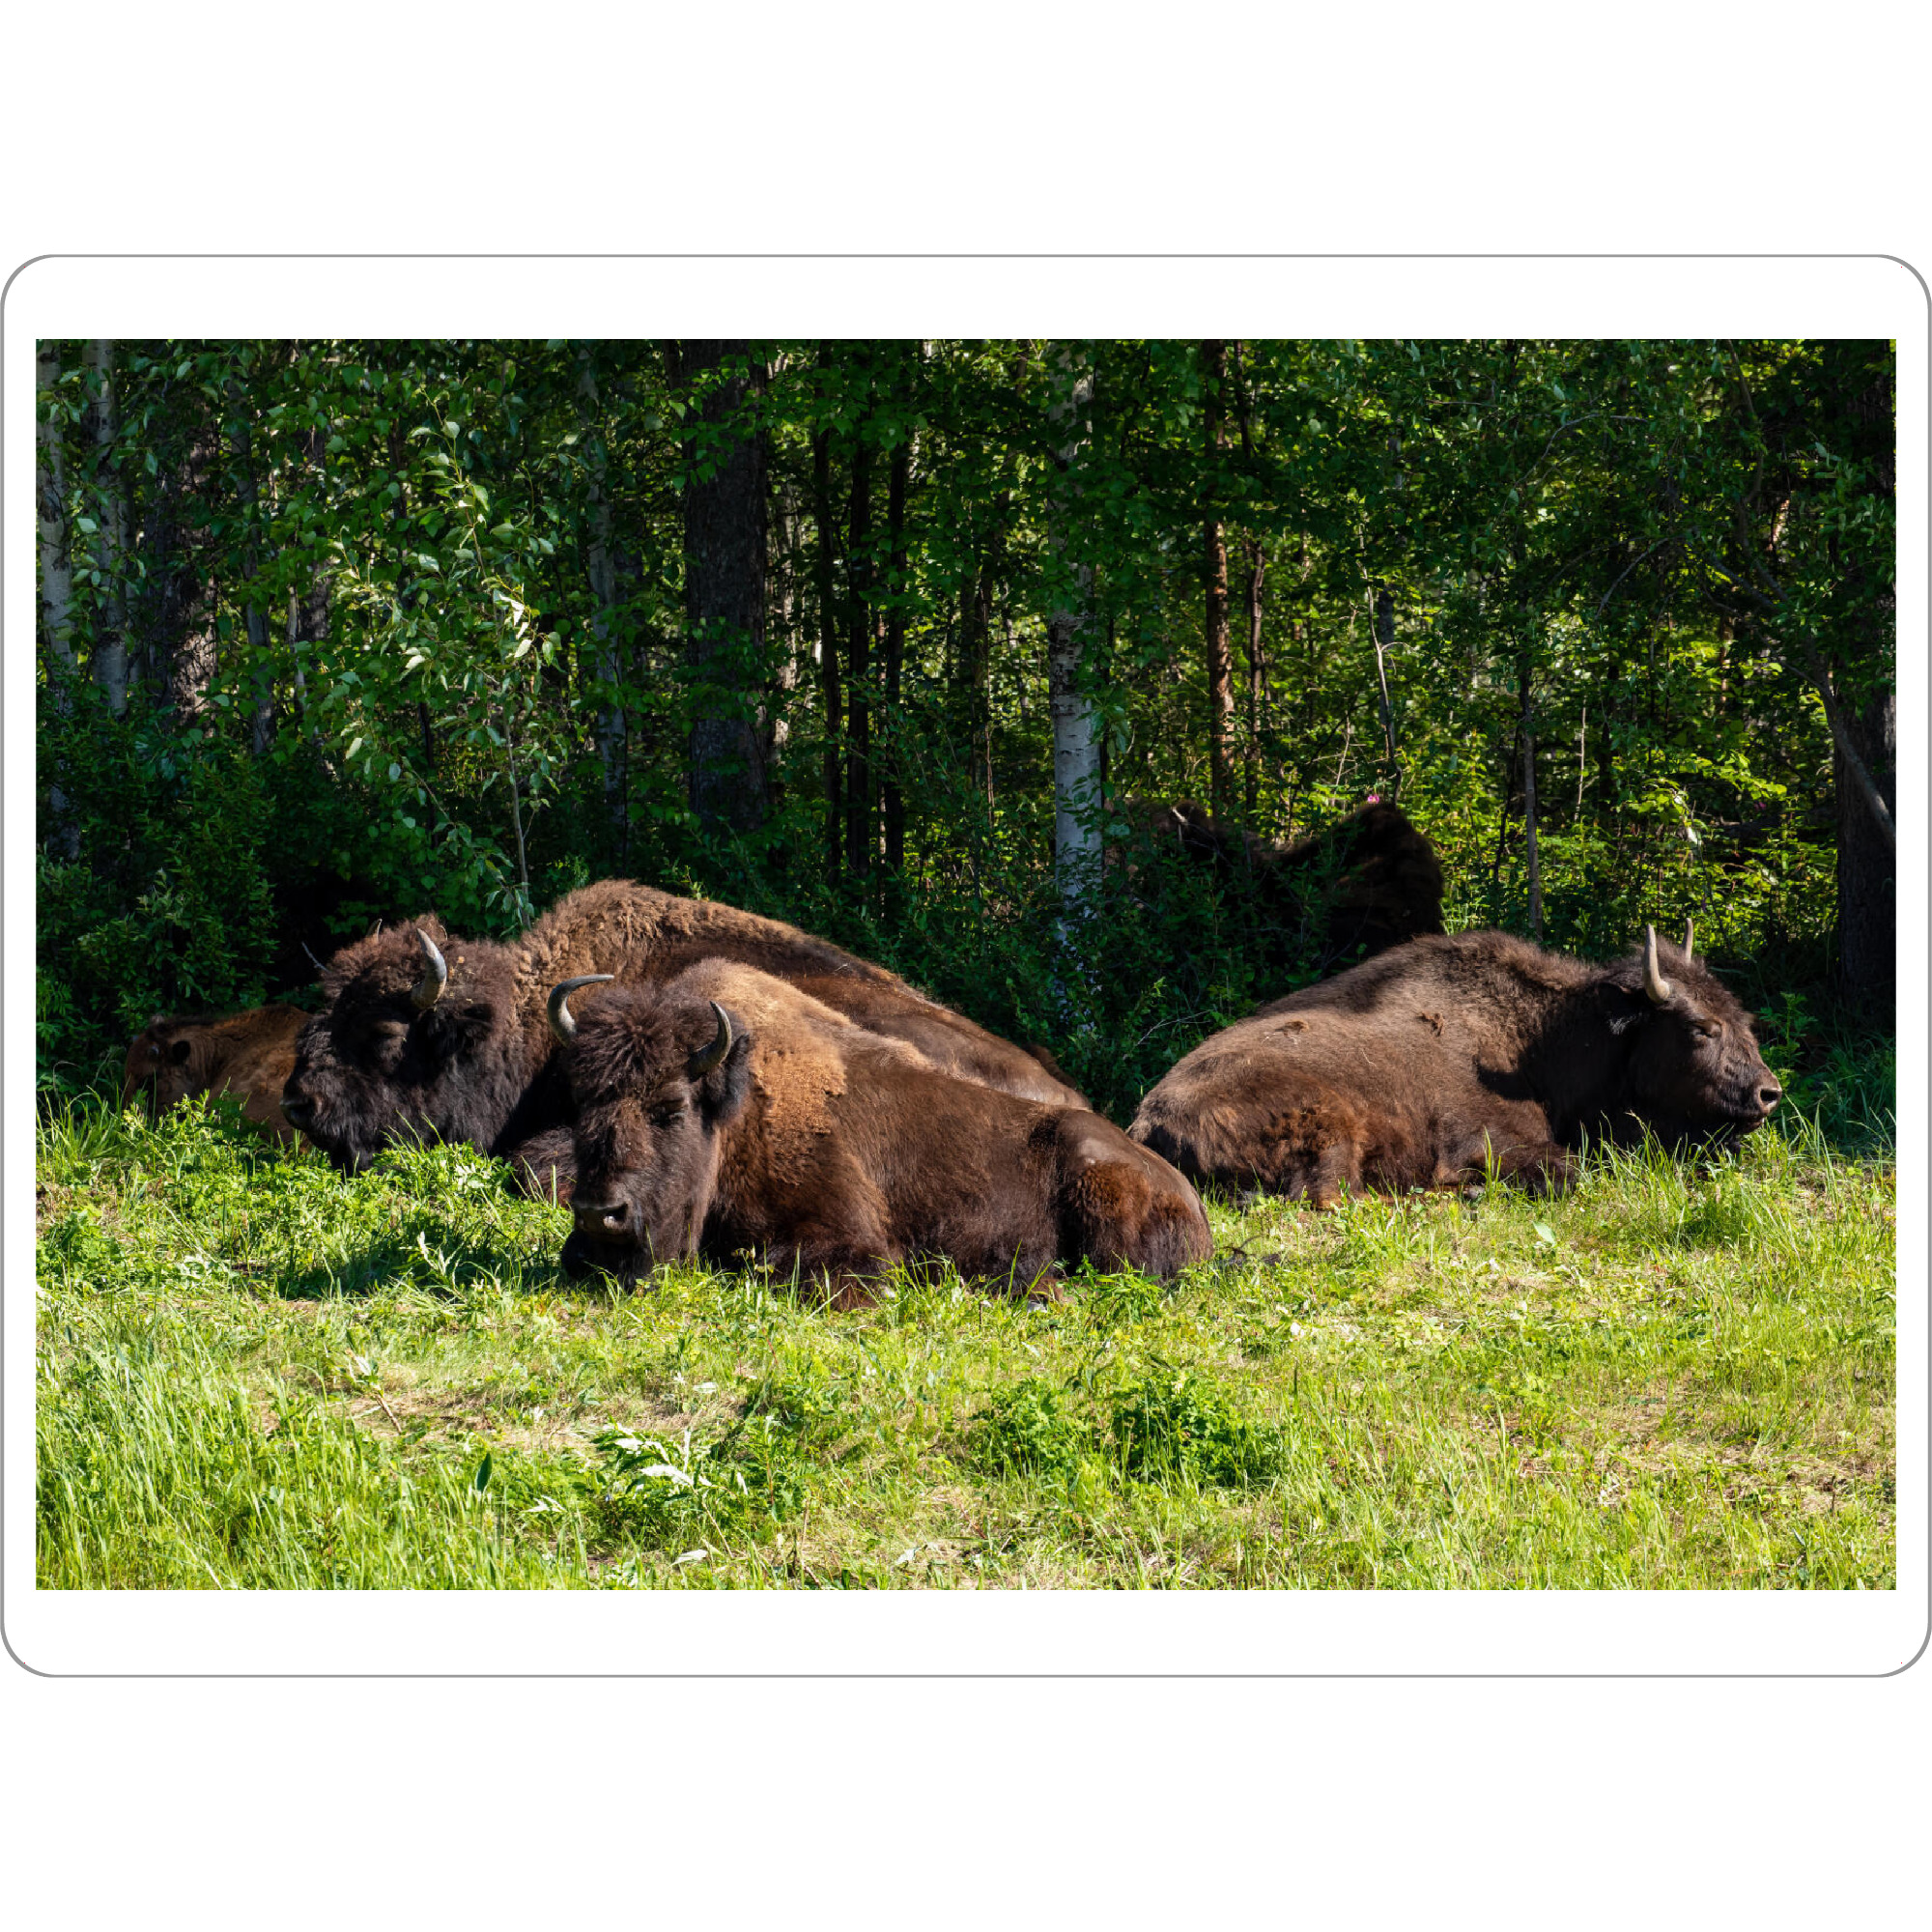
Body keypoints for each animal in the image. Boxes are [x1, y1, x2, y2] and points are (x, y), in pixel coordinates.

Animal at [552, 962, 1212, 1302]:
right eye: (581, 1102)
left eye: (670, 1107)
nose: (599, 1214)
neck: (737, 1117)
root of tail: (1190, 1199)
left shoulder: (849, 1242)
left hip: (1097, 1187)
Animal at [1129, 924, 1782, 1204]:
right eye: (1700, 1028)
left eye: (1743, 1018)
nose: (1768, 1094)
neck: (1538, 1041)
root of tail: (1147, 1118)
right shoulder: (1497, 1143)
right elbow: (1568, 1173)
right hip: (1333, 1127)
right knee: (1333, 1196)